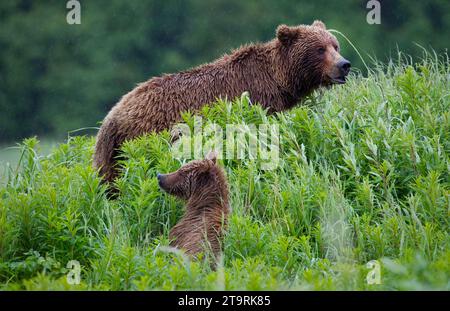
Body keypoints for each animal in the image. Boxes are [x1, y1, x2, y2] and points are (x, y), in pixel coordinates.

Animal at [93, 20, 350, 183]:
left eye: (335, 45)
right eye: (319, 49)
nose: (344, 65)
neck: (280, 80)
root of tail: (110, 117)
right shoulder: (256, 99)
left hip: (111, 155)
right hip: (142, 137)